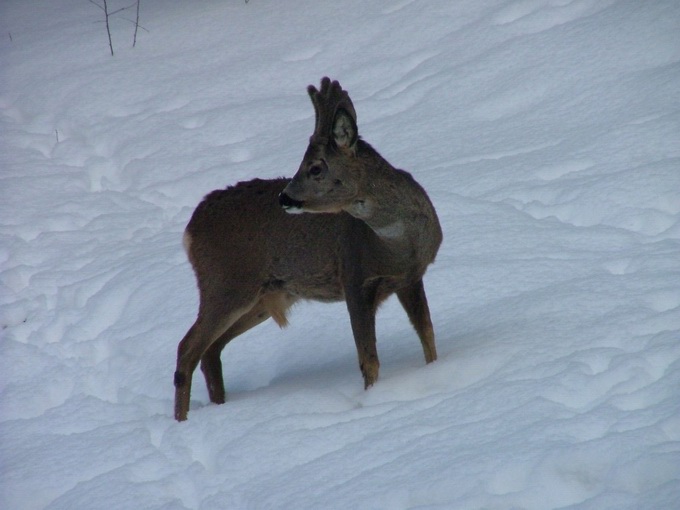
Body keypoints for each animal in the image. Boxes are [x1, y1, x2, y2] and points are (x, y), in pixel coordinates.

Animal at [173, 74, 444, 418]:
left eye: (315, 167)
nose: (284, 197)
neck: (398, 244)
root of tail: (189, 231)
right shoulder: (354, 278)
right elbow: (368, 360)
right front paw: (371, 401)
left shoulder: (410, 278)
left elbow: (428, 337)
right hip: (226, 284)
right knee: (187, 347)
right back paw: (182, 420)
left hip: (264, 296)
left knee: (211, 350)